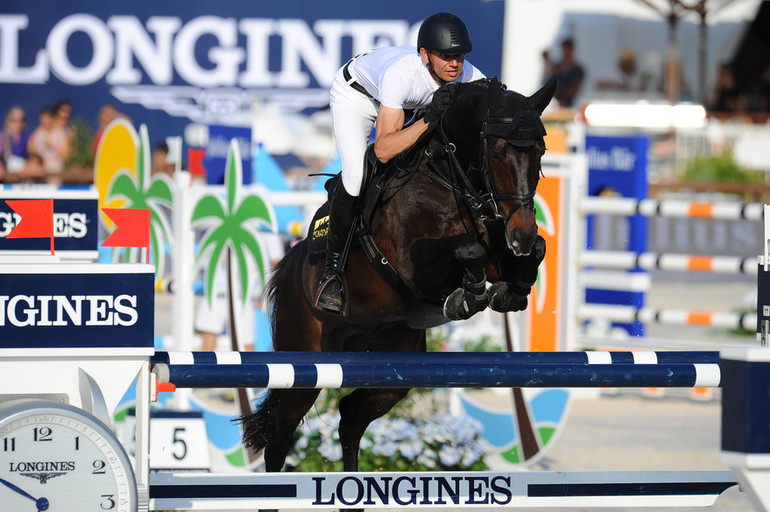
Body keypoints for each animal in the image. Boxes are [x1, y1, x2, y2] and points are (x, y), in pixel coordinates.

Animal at [238, 76, 552, 492]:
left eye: (541, 152)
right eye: (498, 151)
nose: (520, 234)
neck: (448, 177)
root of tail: (292, 263)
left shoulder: (497, 247)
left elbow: (532, 251)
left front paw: (511, 289)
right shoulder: (415, 270)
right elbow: (466, 249)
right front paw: (468, 297)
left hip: (392, 368)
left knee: (352, 414)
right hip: (302, 366)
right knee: (281, 433)